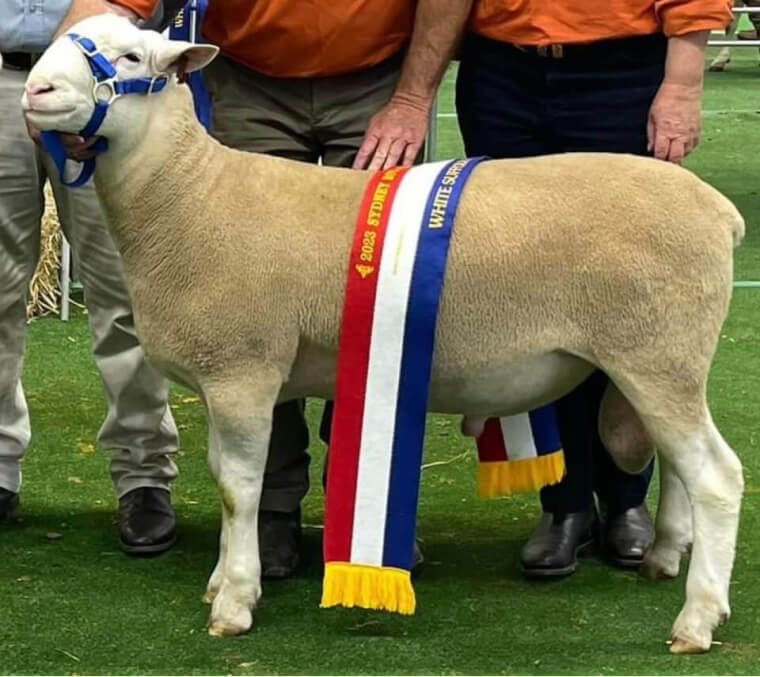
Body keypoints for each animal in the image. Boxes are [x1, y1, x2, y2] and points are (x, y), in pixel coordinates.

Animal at [23, 14, 748, 648]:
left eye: (129, 58)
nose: (36, 91)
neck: (190, 196)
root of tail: (721, 212)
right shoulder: (231, 376)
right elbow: (230, 480)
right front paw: (227, 579)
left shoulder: (242, 369)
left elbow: (237, 489)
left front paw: (234, 600)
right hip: (664, 359)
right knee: (681, 466)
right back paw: (664, 557)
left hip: (657, 353)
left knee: (717, 476)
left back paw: (697, 620)